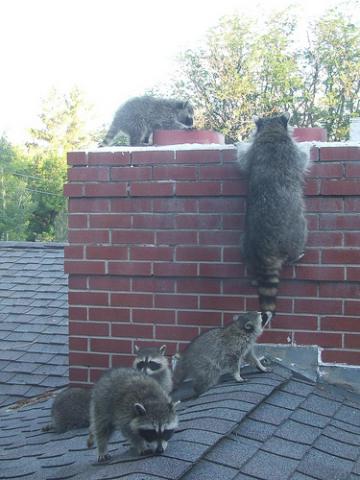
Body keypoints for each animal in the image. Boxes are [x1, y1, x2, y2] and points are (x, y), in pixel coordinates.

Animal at [239, 114, 310, 314]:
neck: (272, 129)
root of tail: (266, 252)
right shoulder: (291, 151)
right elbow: (303, 159)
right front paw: (308, 146)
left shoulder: (253, 152)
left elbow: (243, 162)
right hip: (295, 231)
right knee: (301, 234)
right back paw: (296, 255)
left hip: (247, 244)